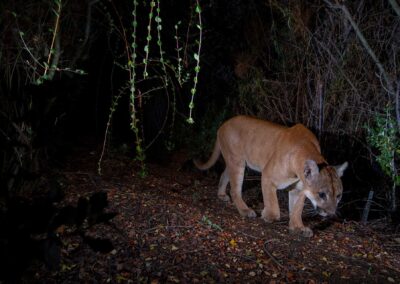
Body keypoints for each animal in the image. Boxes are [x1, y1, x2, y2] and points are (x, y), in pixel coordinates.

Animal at [194, 115, 346, 237]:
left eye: (339, 196)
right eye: (321, 194)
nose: (331, 213)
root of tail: (224, 124)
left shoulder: (299, 189)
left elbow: (297, 209)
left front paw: (298, 227)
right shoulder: (268, 175)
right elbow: (272, 202)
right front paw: (269, 215)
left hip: (234, 161)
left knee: (224, 174)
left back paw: (221, 195)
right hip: (237, 162)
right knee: (234, 189)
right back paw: (245, 210)